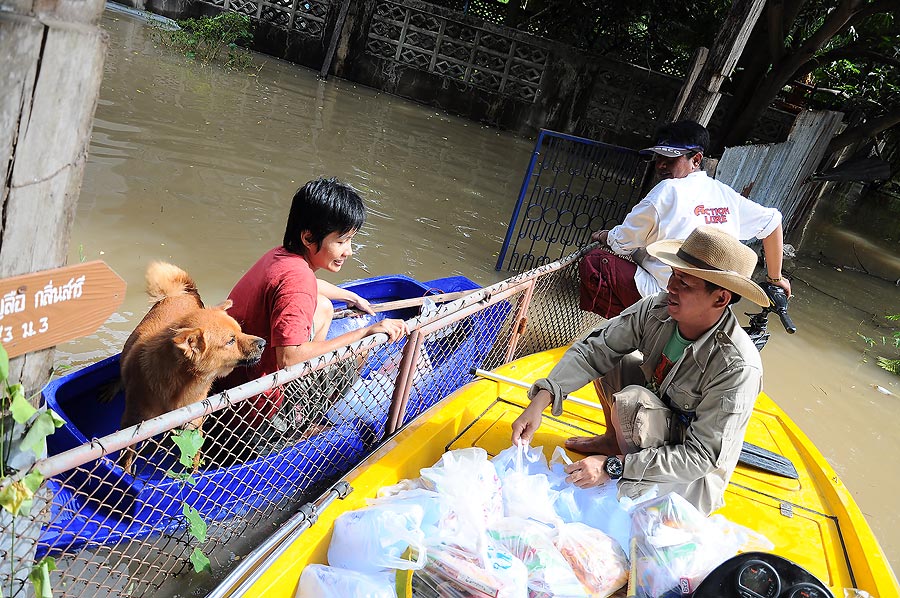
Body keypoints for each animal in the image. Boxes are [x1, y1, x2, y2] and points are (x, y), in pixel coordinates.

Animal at [118, 264, 264, 476]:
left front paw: (194, 474)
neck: (182, 381)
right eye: (231, 340)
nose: (264, 343)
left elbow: (194, 456)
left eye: (240, 331)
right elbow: (127, 458)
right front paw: (125, 474)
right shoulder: (132, 425)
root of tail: (182, 293)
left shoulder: (194, 424)